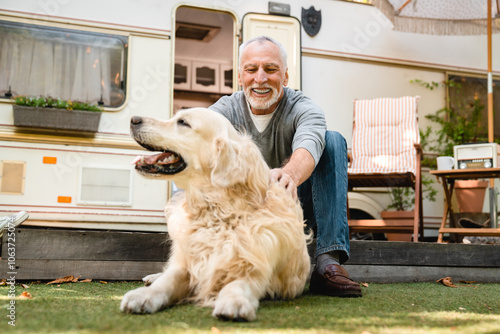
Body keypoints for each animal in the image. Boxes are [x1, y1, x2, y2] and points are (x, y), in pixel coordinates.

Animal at [119, 107, 310, 320]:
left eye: (183, 122)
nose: (134, 119)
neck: (217, 212)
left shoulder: (256, 268)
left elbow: (238, 284)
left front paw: (233, 302)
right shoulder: (189, 263)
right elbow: (168, 280)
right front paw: (143, 295)